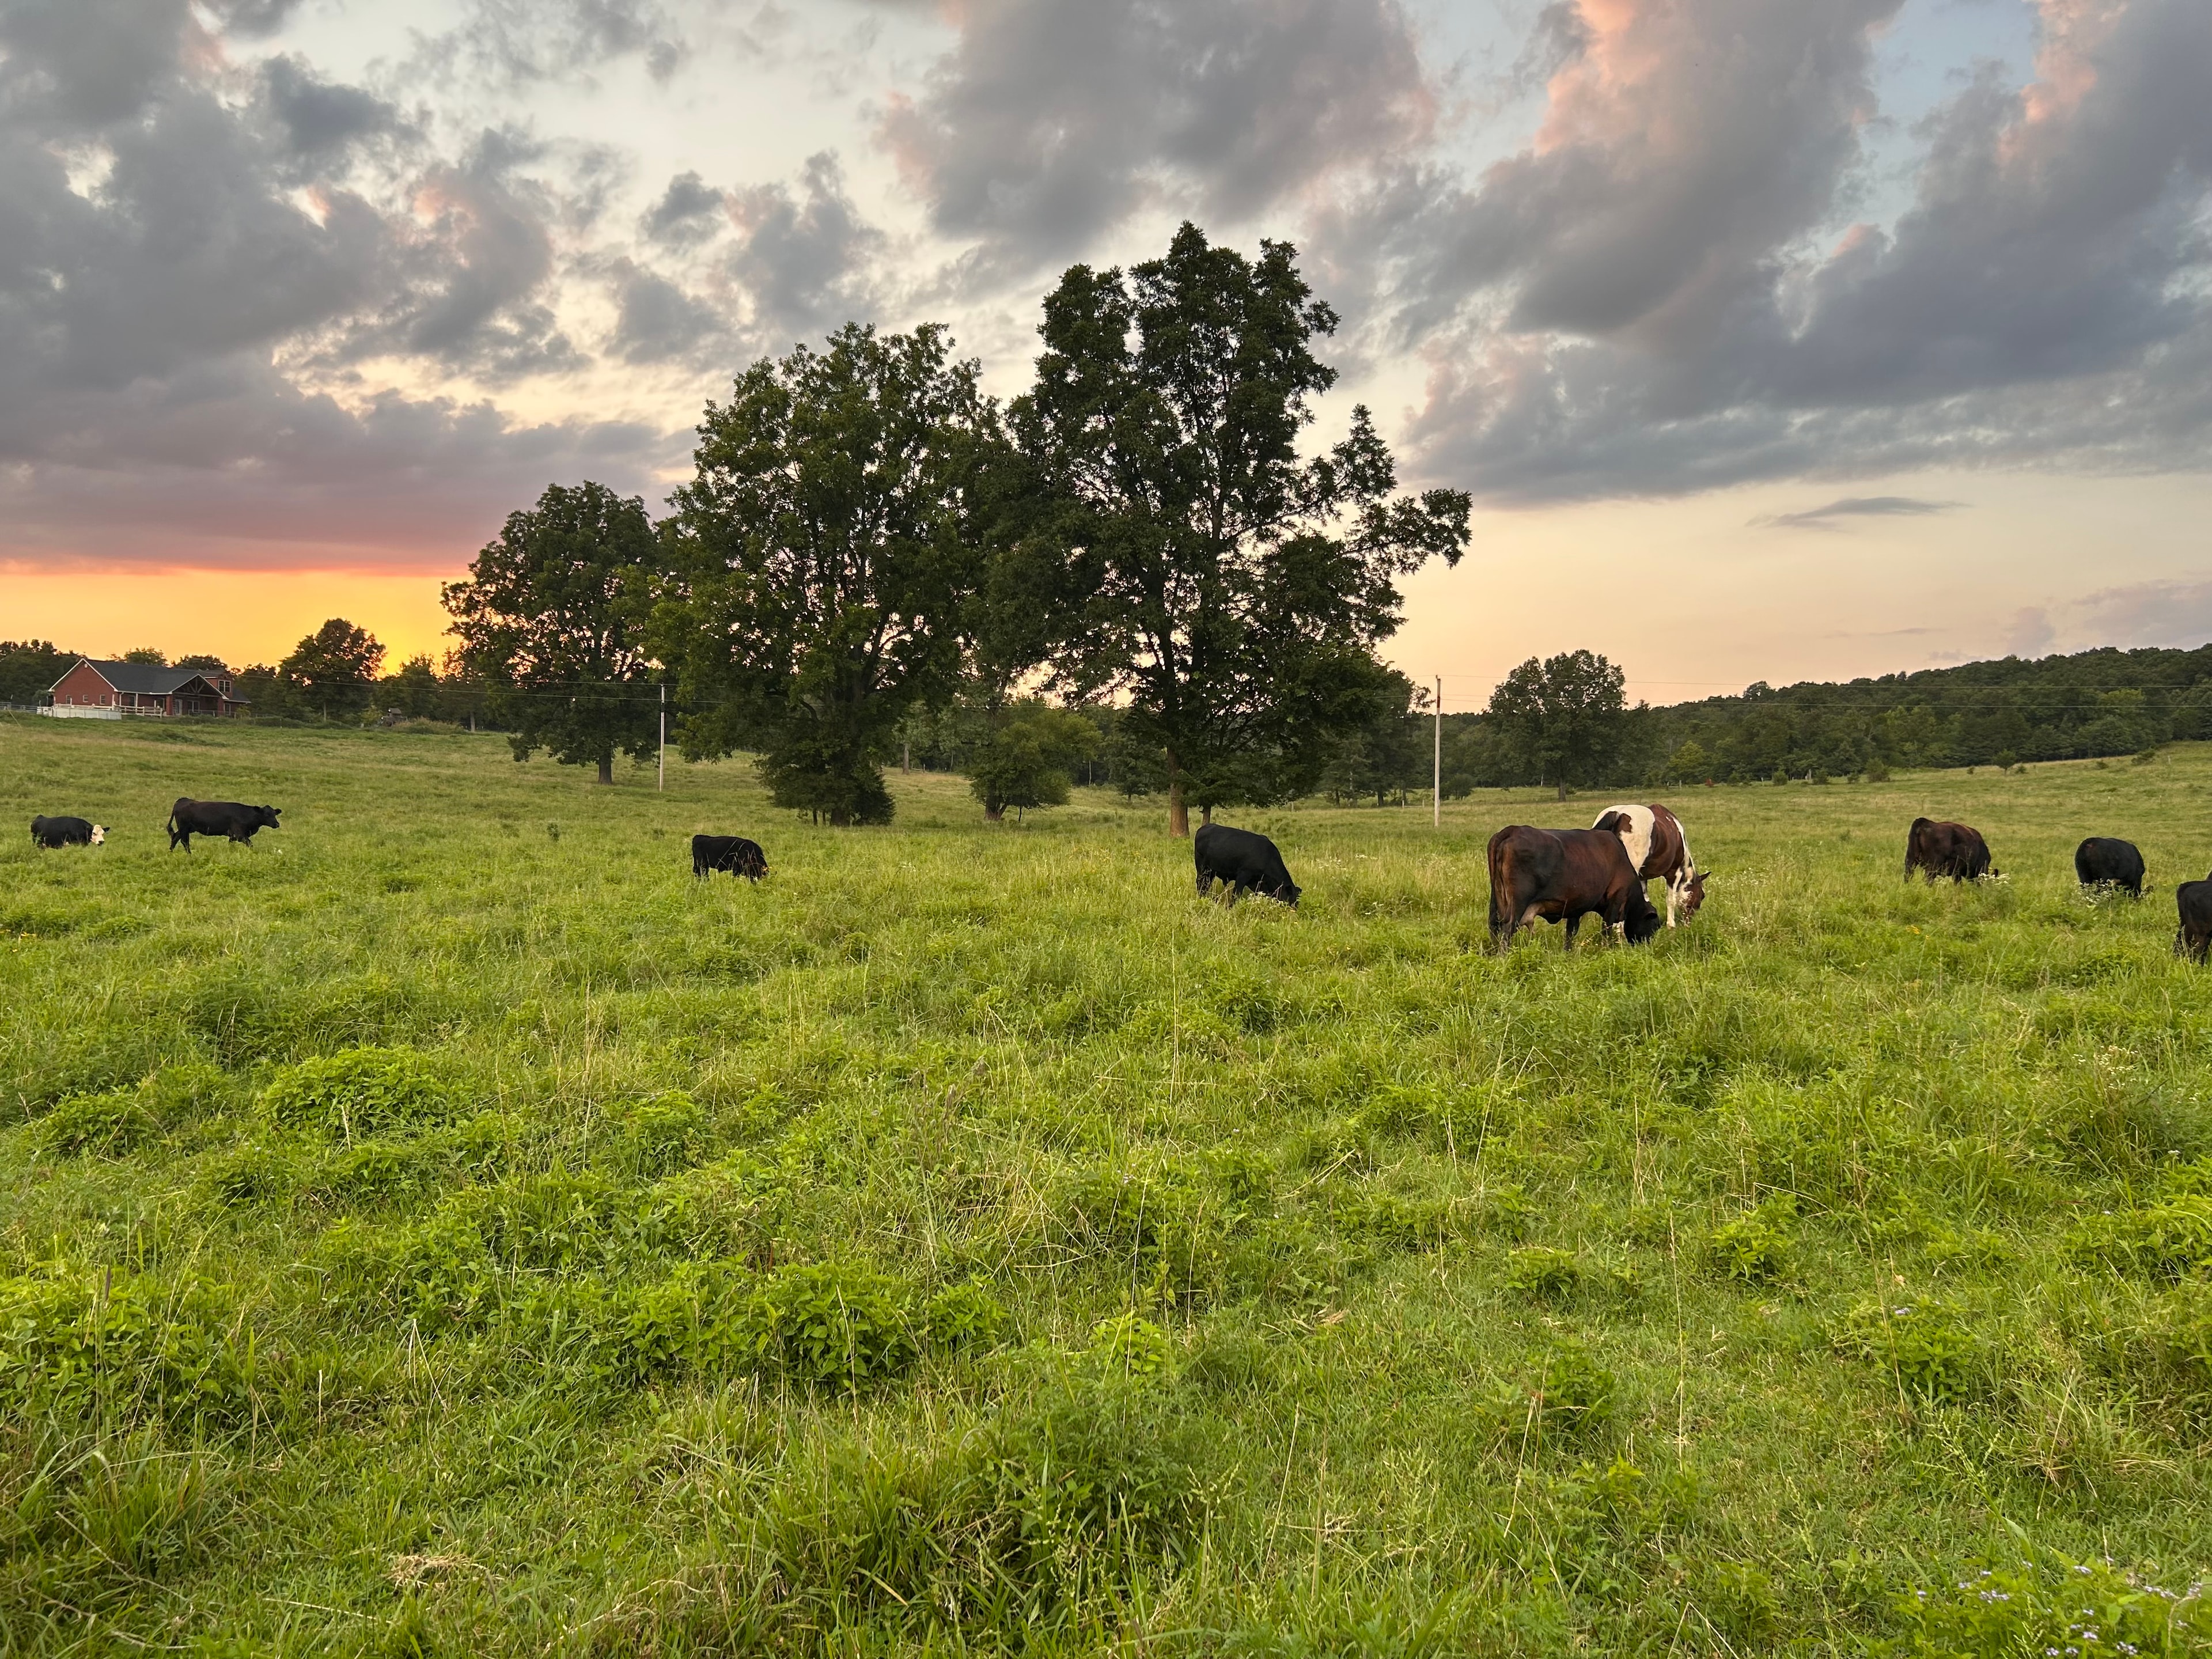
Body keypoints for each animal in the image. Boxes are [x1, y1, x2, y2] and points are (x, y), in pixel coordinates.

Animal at [167, 799, 281, 851]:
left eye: (275, 814)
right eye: (267, 815)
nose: (277, 824)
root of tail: (182, 800)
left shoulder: (233, 836)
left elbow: (230, 845)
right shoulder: (240, 835)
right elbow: (250, 844)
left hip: (186, 829)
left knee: (176, 837)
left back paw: (171, 852)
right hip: (184, 828)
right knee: (184, 842)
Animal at [1194, 823, 1300, 908]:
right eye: (1291, 900)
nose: (1294, 911)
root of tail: (1204, 828)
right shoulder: (1243, 875)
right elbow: (1236, 894)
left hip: (1211, 872)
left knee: (1206, 884)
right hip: (1202, 868)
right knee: (1201, 883)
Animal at [1488, 822, 1662, 951]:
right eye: (1654, 926)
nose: (1647, 948)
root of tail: (1513, 830)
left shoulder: (1575, 906)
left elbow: (1570, 932)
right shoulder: (1616, 898)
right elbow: (1606, 929)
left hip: (1496, 899)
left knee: (1494, 926)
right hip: (1518, 902)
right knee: (1508, 927)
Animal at [1591, 802, 1706, 926]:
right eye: (1702, 895)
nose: (1689, 923)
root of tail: (1618, 814)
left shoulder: (1642, 878)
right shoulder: (1674, 873)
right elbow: (1671, 900)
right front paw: (1671, 925)